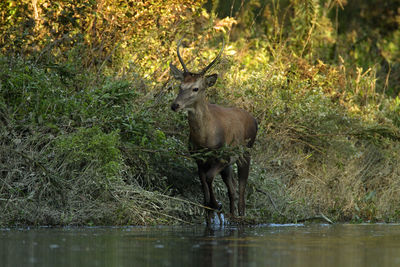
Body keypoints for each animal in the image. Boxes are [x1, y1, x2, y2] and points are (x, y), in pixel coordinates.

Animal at [170, 36, 258, 226]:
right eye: (180, 86)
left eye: (196, 88)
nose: (175, 105)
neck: (205, 139)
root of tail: (254, 120)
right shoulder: (198, 159)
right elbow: (204, 187)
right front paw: (210, 211)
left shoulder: (222, 156)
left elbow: (210, 178)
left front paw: (216, 204)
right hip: (229, 164)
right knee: (232, 189)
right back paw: (230, 216)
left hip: (245, 153)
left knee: (241, 190)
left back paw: (240, 216)